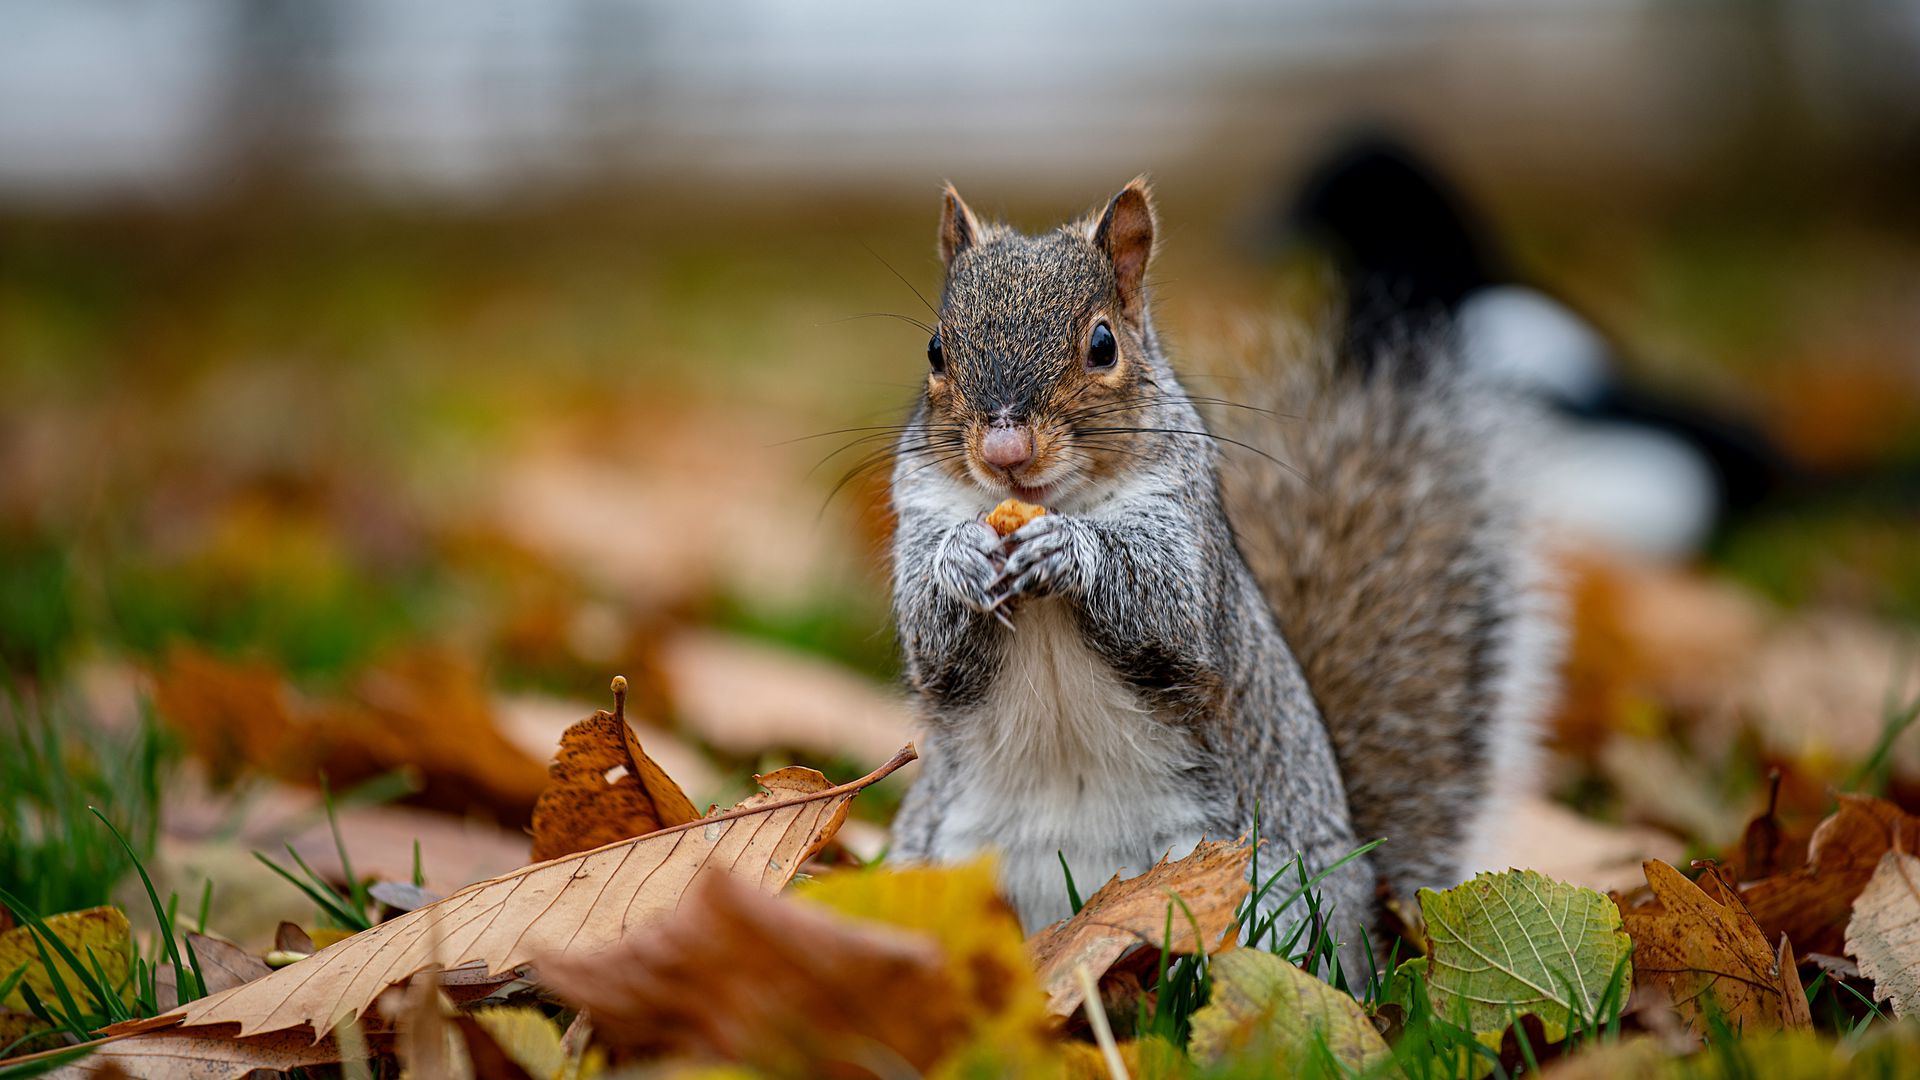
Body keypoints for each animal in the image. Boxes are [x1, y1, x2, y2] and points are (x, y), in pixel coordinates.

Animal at [883, 176, 1559, 957]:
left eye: (1103, 345)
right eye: (936, 349)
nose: (1004, 451)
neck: (1047, 504)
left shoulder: (1188, 538)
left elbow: (1166, 608)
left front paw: (1072, 551)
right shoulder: (921, 512)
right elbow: (929, 637)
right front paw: (959, 561)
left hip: (1263, 892)